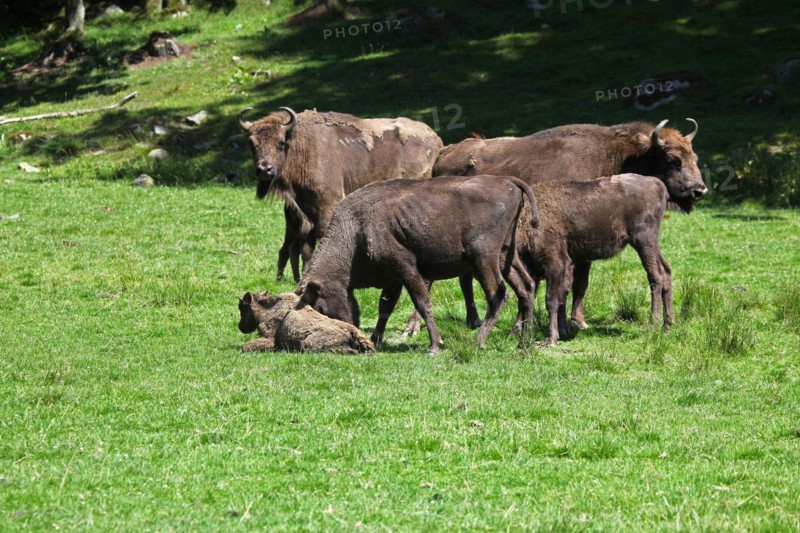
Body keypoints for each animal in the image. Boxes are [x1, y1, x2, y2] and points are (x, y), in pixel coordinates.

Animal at [238, 107, 443, 277]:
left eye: (280, 142)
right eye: (251, 143)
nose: (264, 169)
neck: (300, 146)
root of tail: (436, 139)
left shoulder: (327, 206)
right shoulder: (303, 215)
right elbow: (306, 249)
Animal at [296, 175, 540, 355]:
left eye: (319, 307)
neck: (355, 231)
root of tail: (509, 182)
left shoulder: (407, 269)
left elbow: (422, 303)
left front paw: (435, 346)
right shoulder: (393, 279)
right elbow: (385, 308)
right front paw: (376, 340)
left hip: (483, 258)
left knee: (498, 295)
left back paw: (477, 343)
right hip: (506, 255)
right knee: (526, 287)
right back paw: (523, 343)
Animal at [409, 119, 704, 333]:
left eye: (695, 158)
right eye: (673, 160)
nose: (699, 190)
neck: (623, 156)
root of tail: (444, 153)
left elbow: (580, 283)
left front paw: (577, 321)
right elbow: (570, 283)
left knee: (465, 277)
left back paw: (473, 321)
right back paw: (413, 328)